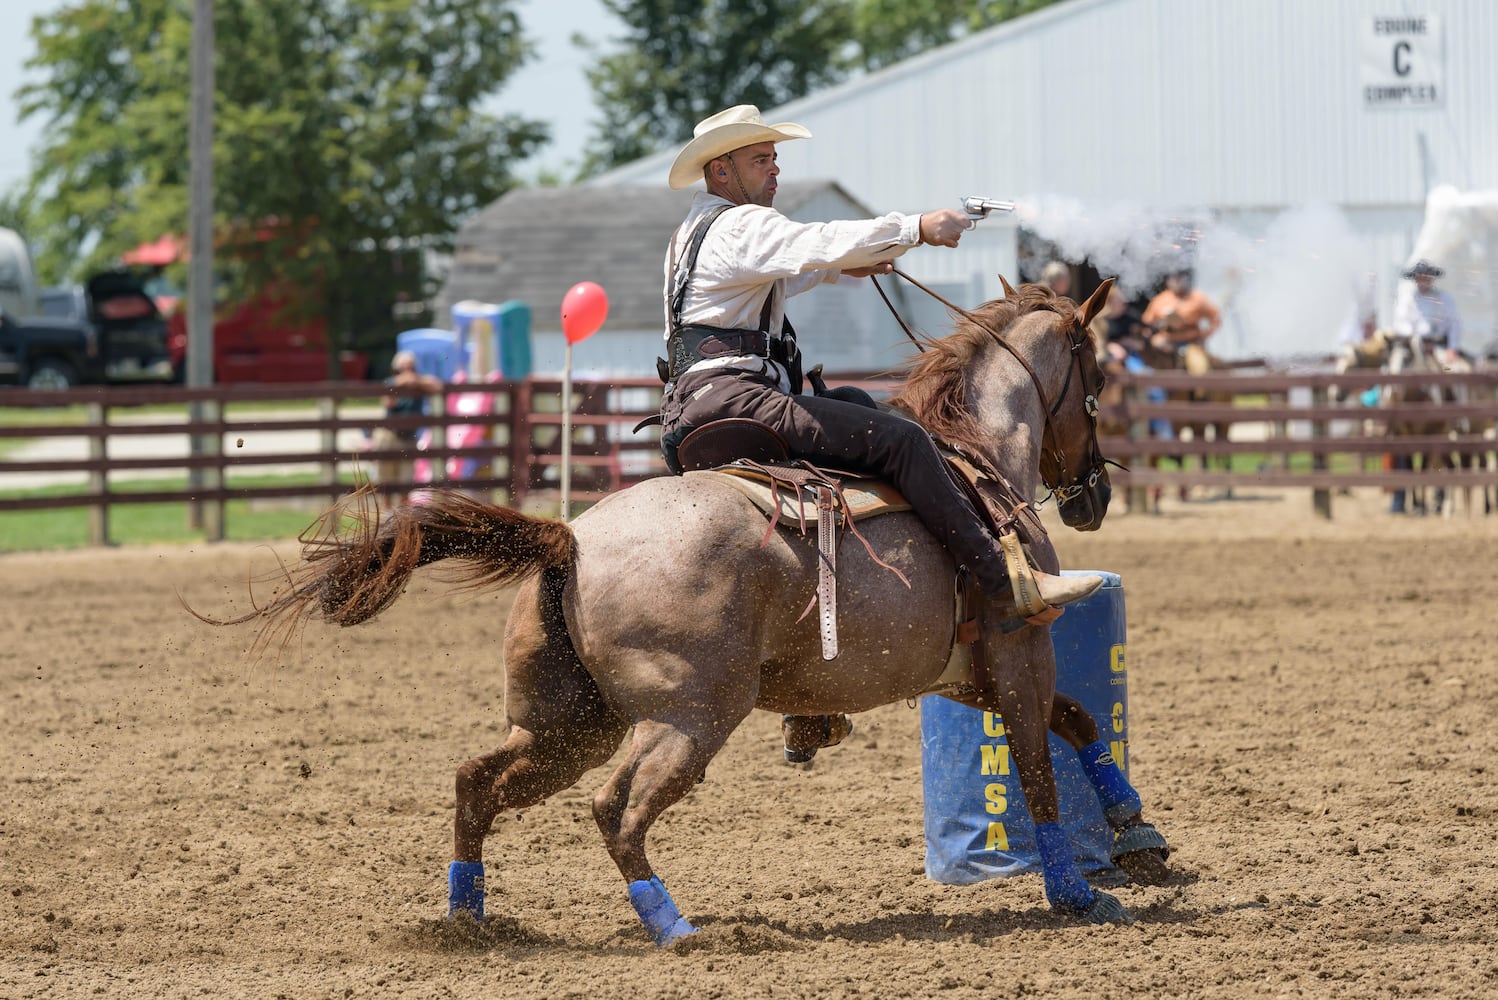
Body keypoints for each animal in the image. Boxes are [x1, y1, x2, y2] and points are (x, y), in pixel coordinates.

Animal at [208, 279, 1168, 946]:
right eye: (1098, 377)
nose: (1094, 496)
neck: (978, 464)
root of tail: (573, 540)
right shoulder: (1016, 650)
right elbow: (1042, 762)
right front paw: (1079, 892)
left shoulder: (959, 671)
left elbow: (1080, 722)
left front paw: (1138, 832)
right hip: (690, 715)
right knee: (615, 810)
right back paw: (672, 925)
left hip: (568, 723)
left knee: (478, 782)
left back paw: (467, 916)